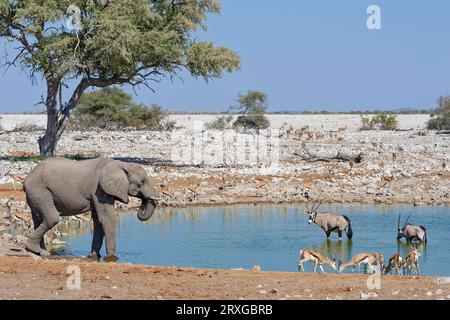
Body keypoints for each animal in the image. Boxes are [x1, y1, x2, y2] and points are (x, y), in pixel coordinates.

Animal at [24, 156, 160, 262]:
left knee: (38, 220)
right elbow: (108, 217)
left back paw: (40, 252)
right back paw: (36, 250)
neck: (120, 165)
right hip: (39, 190)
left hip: (35, 194)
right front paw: (112, 258)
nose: (143, 202)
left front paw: (94, 256)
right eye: (142, 182)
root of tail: (27, 178)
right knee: (52, 218)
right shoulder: (100, 189)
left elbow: (98, 219)